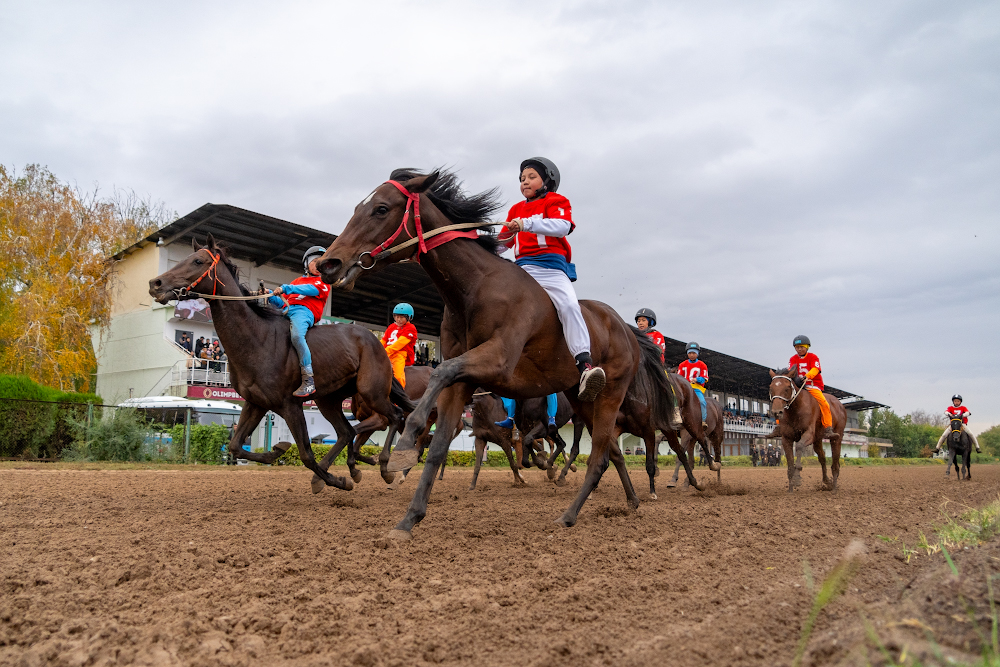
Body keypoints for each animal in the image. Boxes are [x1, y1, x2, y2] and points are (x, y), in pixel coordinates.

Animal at [146, 236, 414, 490]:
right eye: (184, 259)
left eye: (197, 261)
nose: (155, 284)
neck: (257, 339)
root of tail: (375, 339)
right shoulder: (256, 403)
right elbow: (235, 446)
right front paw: (278, 451)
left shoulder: (290, 405)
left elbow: (306, 455)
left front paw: (337, 481)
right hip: (328, 399)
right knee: (347, 431)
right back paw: (348, 471)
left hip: (371, 391)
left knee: (395, 416)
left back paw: (385, 467)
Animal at [316, 171, 700, 536]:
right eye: (358, 207)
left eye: (381, 209)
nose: (328, 264)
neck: (476, 288)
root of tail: (628, 329)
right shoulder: (464, 379)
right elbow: (439, 443)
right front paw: (408, 519)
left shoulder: (497, 362)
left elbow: (441, 373)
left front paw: (404, 446)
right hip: (582, 402)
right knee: (613, 452)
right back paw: (631, 500)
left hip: (610, 394)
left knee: (599, 458)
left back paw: (569, 514)